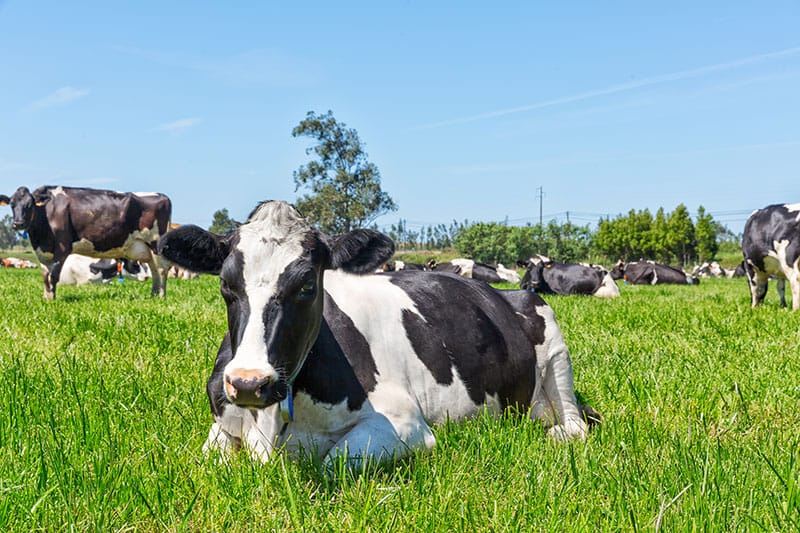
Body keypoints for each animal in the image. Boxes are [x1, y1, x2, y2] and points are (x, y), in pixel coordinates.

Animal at [0, 186, 172, 300]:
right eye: (12, 205)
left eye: (29, 205)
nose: (18, 223)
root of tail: (163, 196)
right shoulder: (42, 252)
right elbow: (45, 276)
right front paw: (46, 298)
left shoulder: (62, 248)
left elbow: (53, 276)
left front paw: (52, 300)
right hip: (147, 249)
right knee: (154, 270)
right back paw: (153, 295)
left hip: (156, 244)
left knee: (162, 271)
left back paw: (161, 296)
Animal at [157, 201, 597, 468]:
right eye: (225, 285)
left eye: (307, 285)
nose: (249, 383)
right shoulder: (221, 424)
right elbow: (210, 458)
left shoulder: (404, 423)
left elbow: (334, 461)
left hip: (556, 348)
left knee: (574, 424)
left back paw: (555, 431)